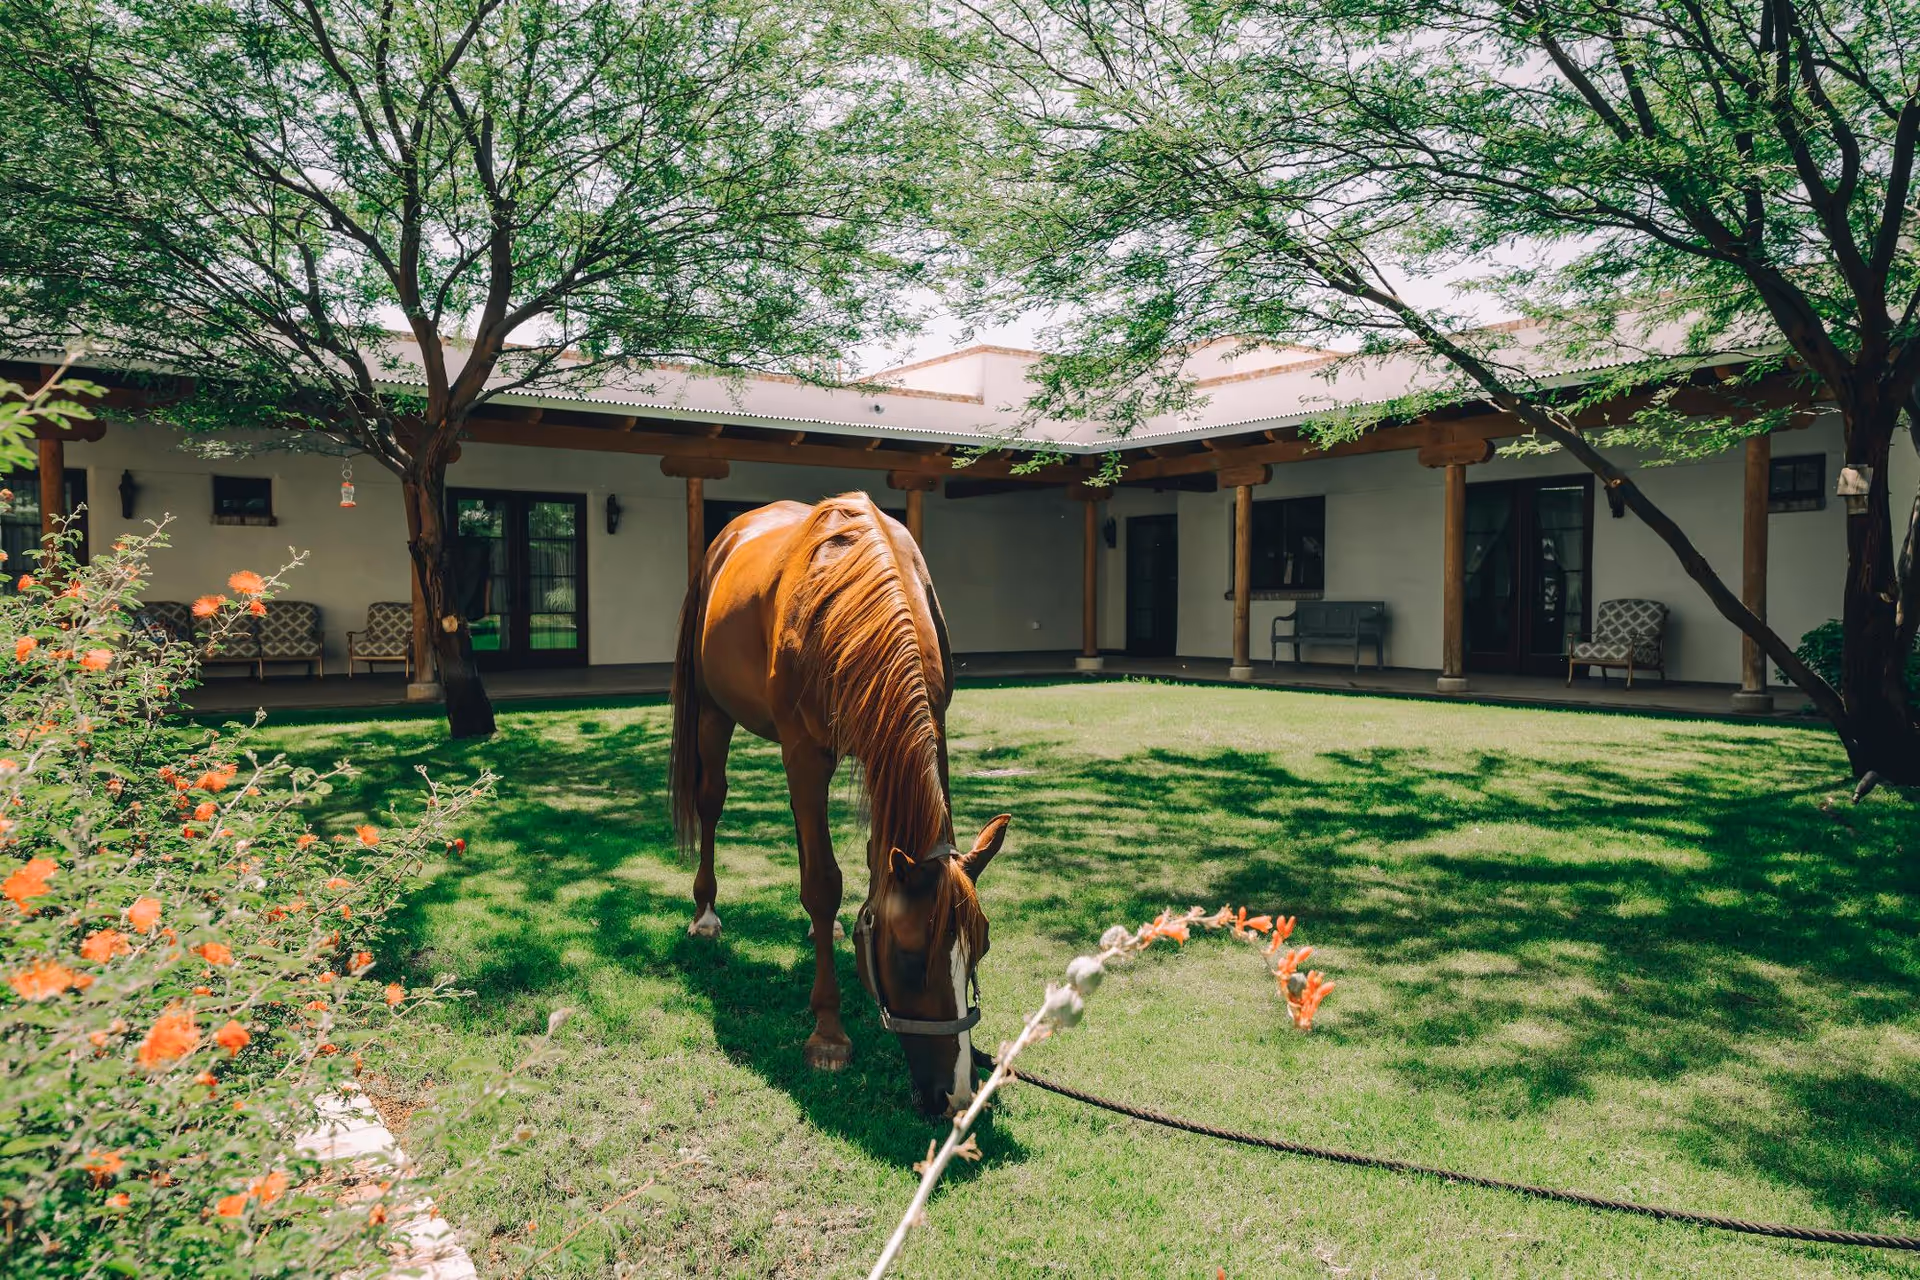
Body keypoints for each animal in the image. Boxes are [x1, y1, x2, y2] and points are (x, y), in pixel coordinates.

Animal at [669, 492, 1011, 1115]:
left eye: (981, 946)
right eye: (911, 960)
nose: (954, 1096)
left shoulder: (920, 731)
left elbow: (872, 863)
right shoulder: (806, 753)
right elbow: (824, 884)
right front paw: (828, 1033)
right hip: (712, 712)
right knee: (711, 803)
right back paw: (705, 914)